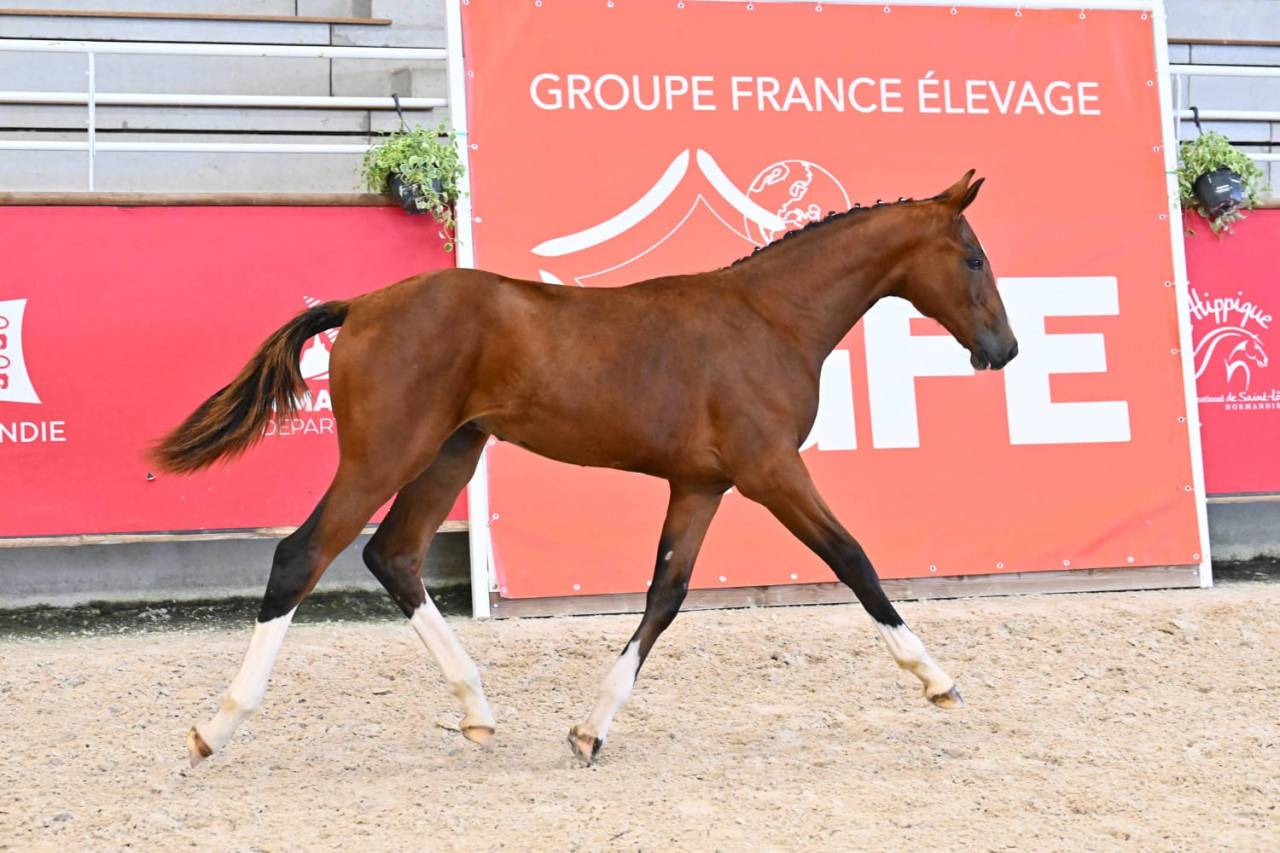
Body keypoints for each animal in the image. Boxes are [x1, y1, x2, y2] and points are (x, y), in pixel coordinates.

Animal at [154, 170, 1018, 767]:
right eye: (973, 258)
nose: (1004, 349)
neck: (769, 319)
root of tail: (363, 305)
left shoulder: (700, 486)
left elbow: (665, 597)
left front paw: (588, 730)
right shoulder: (770, 470)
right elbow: (853, 560)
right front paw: (937, 679)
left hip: (450, 453)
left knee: (393, 554)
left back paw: (477, 709)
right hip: (384, 456)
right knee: (301, 555)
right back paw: (214, 726)